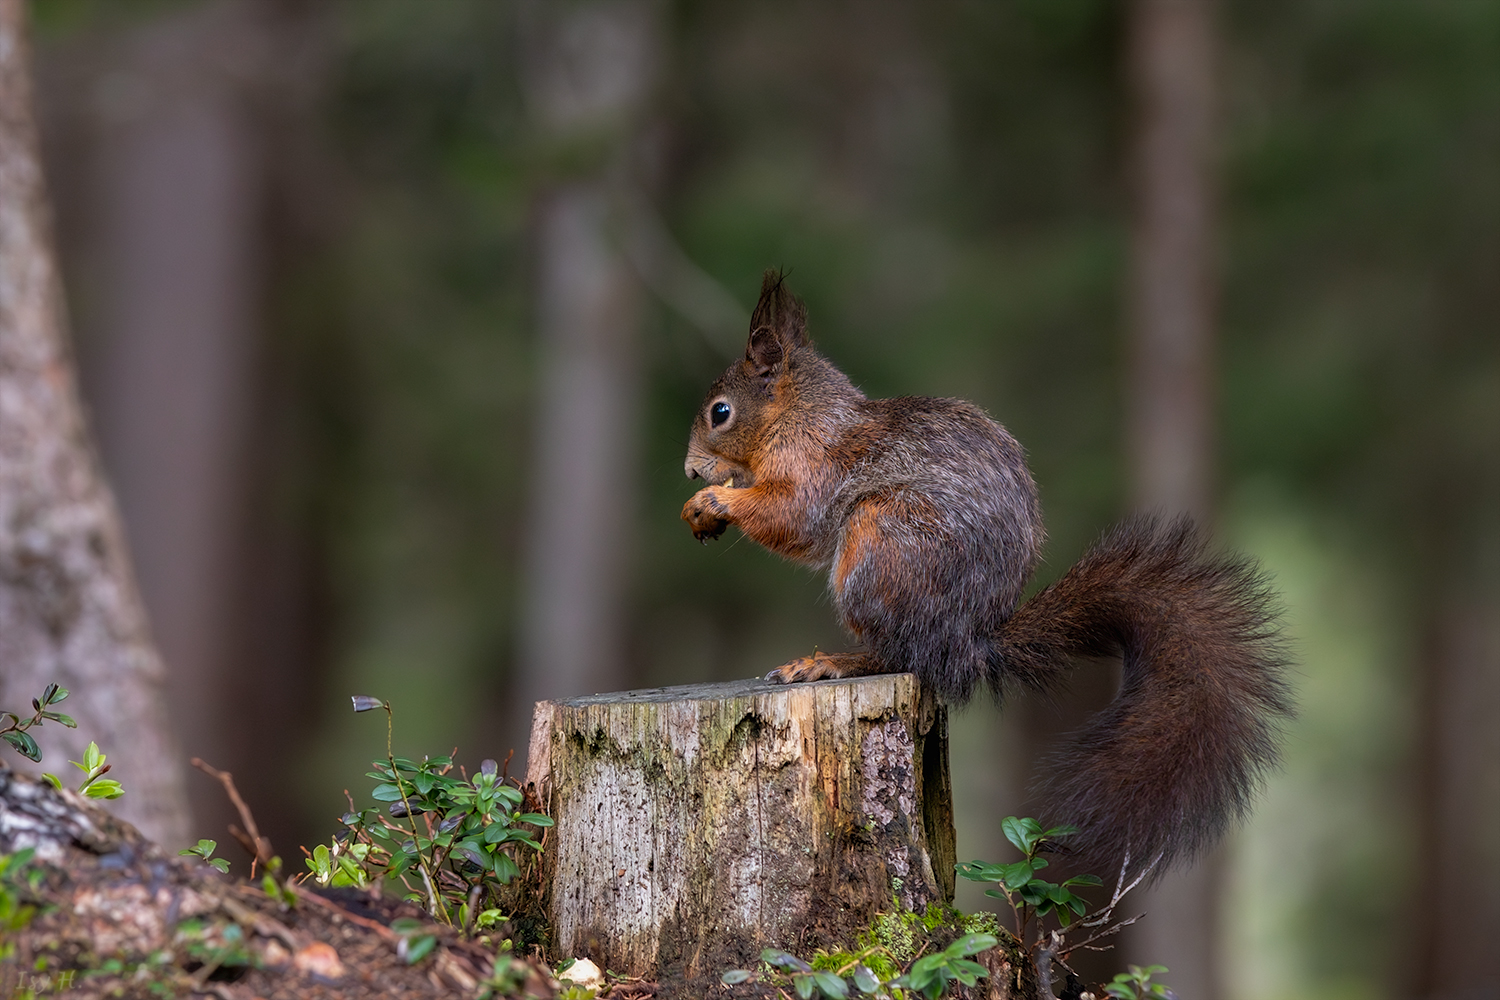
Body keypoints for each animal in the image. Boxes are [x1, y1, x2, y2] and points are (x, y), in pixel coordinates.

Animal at [681, 269, 1290, 881]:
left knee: (902, 656)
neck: (797, 417)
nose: (688, 470)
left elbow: (791, 517)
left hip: (880, 545)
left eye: (719, 412)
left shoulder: (811, 468)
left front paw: (713, 501)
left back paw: (832, 662)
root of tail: (967, 640)